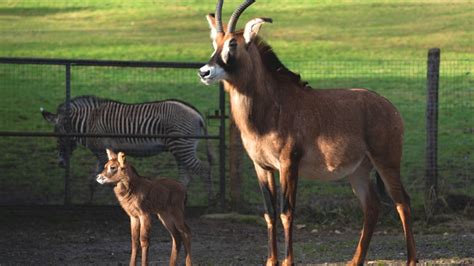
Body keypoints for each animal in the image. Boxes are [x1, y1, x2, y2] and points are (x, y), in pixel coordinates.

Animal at [41, 95, 214, 204]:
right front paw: (89, 202)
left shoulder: (101, 152)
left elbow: (103, 180)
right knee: (185, 177)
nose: (61, 163)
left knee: (204, 170)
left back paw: (211, 202)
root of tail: (197, 114)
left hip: (182, 146)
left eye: (58, 135)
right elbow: (94, 180)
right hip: (179, 149)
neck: (90, 122)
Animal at [198, 0, 416, 266]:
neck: (272, 106)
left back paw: (411, 260)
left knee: (402, 201)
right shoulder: (262, 166)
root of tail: (390, 107)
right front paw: (271, 261)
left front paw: (287, 261)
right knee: (372, 206)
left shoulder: (289, 163)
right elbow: (269, 213)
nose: (204, 72)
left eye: (233, 43)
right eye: (214, 41)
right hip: (358, 170)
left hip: (387, 161)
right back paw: (355, 260)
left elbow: (287, 212)